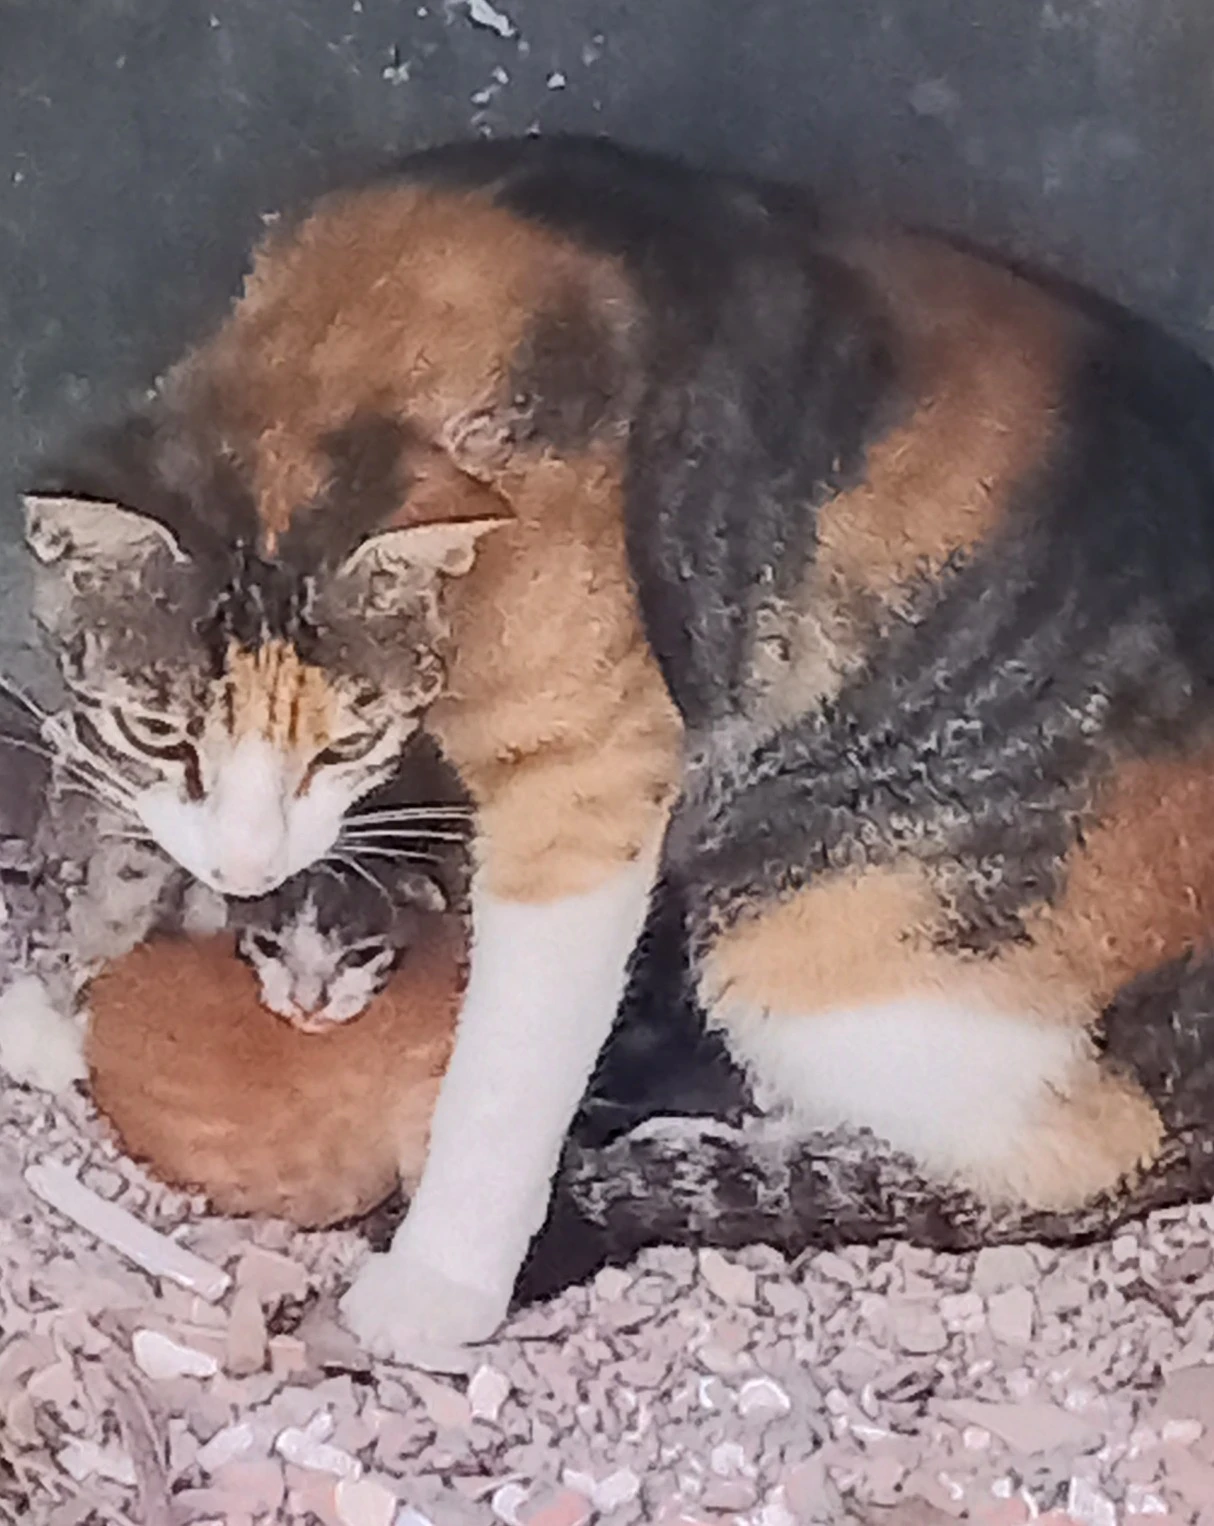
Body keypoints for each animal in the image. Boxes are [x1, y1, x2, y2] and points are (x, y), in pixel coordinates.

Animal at [24, 133, 1214, 1363]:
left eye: (347, 742)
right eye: (160, 732)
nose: (249, 864)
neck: (355, 325)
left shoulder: (587, 774)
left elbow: (512, 1060)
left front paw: (440, 1284)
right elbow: (120, 826)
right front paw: (65, 999)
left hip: (823, 930)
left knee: (1064, 1153)